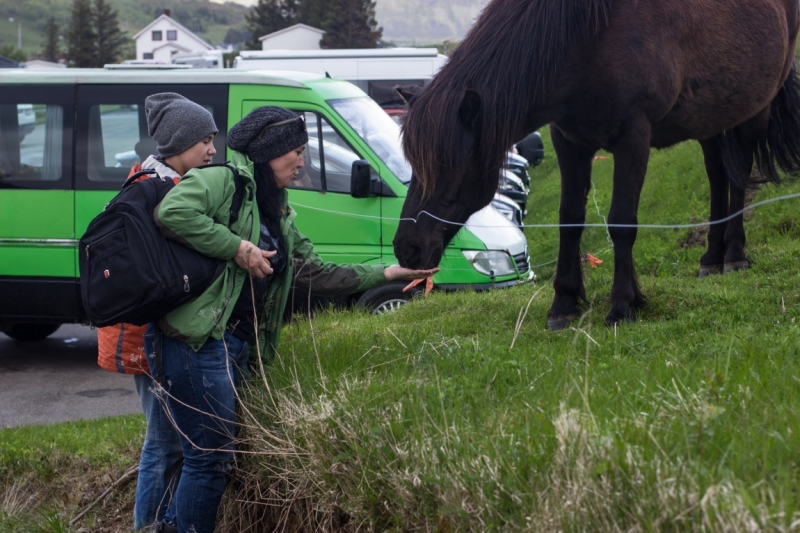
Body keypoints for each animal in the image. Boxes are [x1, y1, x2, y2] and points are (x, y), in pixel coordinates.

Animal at [392, 0, 800, 328]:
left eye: (445, 166)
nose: (406, 249)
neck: (586, 40)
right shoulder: (569, 141)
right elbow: (570, 219)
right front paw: (564, 303)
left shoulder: (633, 137)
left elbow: (621, 222)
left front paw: (622, 305)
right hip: (710, 116)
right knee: (717, 175)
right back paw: (712, 257)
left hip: (755, 110)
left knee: (739, 174)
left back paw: (734, 254)